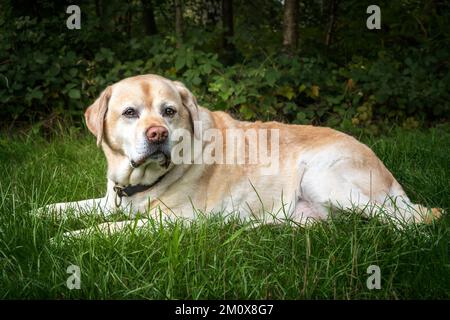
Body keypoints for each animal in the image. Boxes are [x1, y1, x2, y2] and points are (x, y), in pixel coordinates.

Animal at [40, 74, 442, 235]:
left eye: (169, 111)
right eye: (129, 113)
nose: (158, 135)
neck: (140, 181)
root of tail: (384, 167)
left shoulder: (172, 222)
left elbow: (105, 229)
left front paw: (64, 240)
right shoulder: (111, 201)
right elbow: (63, 208)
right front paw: (35, 217)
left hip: (323, 177)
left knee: (408, 221)